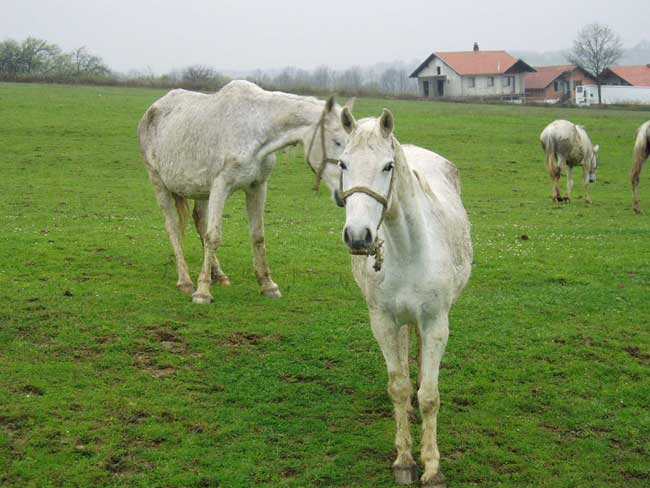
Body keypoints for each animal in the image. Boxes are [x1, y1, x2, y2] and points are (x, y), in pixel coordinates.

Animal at [135, 80, 350, 304]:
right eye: (336, 141)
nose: (343, 195)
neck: (255, 126)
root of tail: (153, 109)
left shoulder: (257, 186)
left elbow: (257, 235)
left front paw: (268, 285)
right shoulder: (221, 186)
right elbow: (213, 236)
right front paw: (202, 292)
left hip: (201, 190)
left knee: (200, 221)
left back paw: (218, 274)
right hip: (159, 183)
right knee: (173, 229)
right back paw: (185, 281)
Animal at [334, 108, 470, 486]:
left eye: (388, 166)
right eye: (343, 163)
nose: (358, 236)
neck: (408, 249)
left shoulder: (436, 323)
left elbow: (430, 397)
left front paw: (433, 467)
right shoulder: (382, 321)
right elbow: (398, 387)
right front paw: (405, 460)